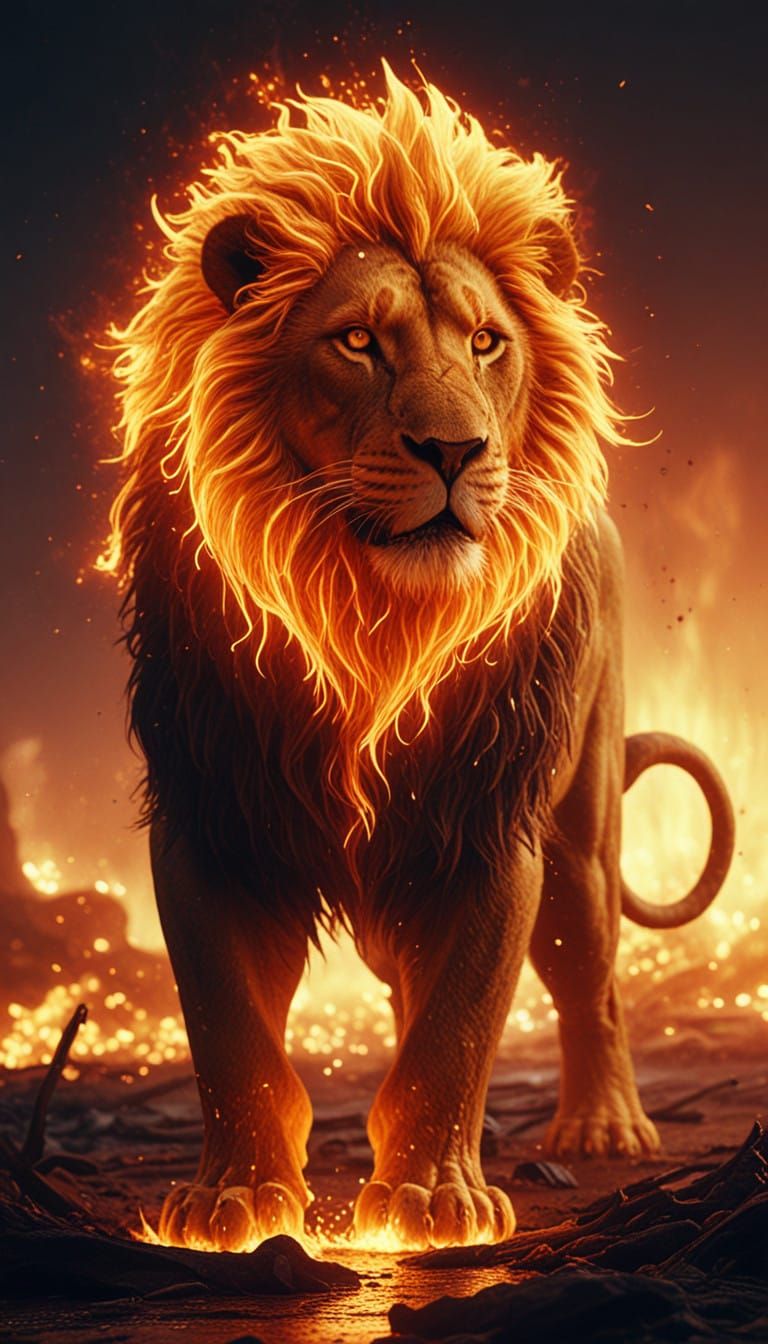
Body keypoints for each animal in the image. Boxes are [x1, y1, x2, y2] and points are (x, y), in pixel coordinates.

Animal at [102, 65, 734, 1252]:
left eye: (486, 343)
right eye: (358, 342)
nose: (455, 450)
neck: (370, 621)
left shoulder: (488, 825)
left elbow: (461, 1022)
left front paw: (436, 1201)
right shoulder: (211, 812)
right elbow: (228, 1027)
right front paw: (232, 1200)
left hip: (581, 834)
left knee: (592, 982)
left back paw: (602, 1127)